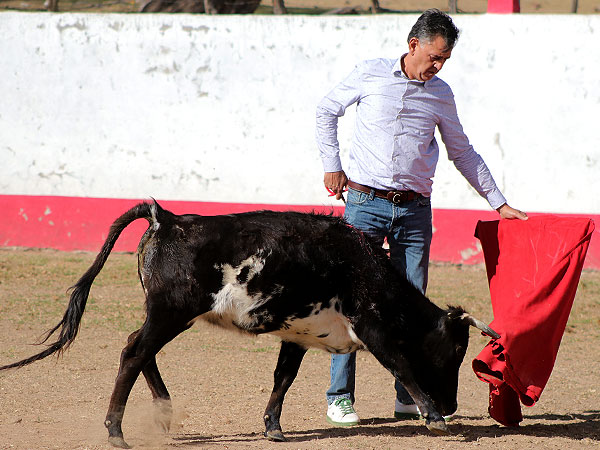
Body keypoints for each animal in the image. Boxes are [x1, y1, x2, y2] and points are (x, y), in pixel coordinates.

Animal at [0, 202, 496, 448]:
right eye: (456, 351)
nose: (452, 404)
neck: (363, 266)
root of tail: (166, 218)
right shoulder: (372, 328)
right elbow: (402, 366)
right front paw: (434, 419)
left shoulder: (297, 334)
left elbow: (283, 378)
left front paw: (273, 427)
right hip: (171, 311)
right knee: (134, 352)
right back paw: (117, 432)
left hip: (166, 314)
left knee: (140, 350)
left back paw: (163, 415)